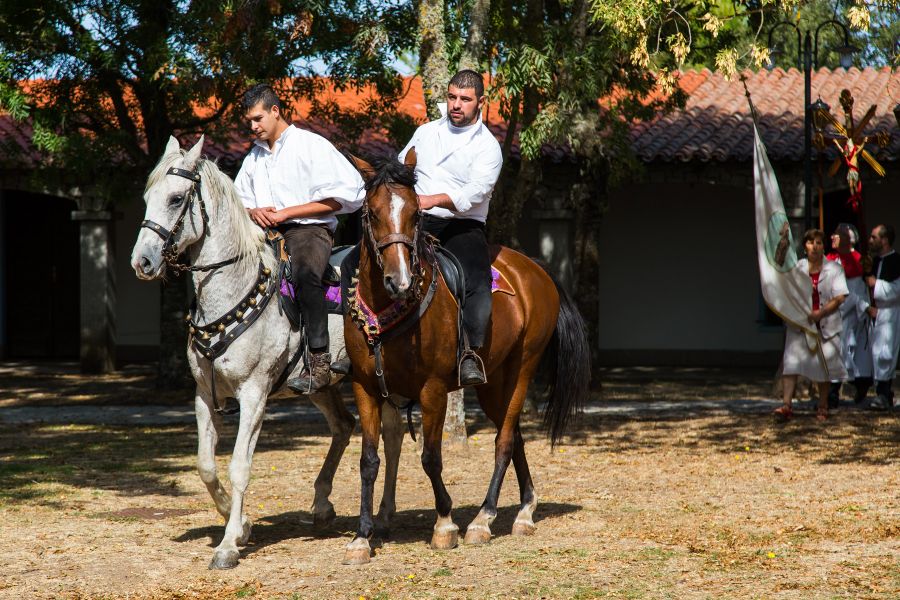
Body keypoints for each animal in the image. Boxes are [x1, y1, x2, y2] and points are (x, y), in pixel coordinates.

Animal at [130, 137, 404, 572]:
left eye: (175, 198)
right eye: (146, 198)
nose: (142, 262)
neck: (233, 291)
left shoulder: (254, 395)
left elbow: (239, 466)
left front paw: (228, 545)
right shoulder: (204, 395)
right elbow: (206, 465)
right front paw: (239, 524)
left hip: (381, 380)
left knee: (391, 437)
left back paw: (384, 514)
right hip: (321, 386)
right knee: (343, 425)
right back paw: (322, 505)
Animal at [342, 152, 588, 564]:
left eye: (415, 213)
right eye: (371, 213)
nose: (399, 281)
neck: (387, 310)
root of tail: (536, 271)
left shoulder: (433, 390)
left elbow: (430, 457)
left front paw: (445, 524)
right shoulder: (365, 388)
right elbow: (368, 462)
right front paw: (362, 537)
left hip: (522, 368)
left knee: (504, 442)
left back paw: (483, 520)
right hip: (492, 384)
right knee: (514, 436)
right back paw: (524, 510)